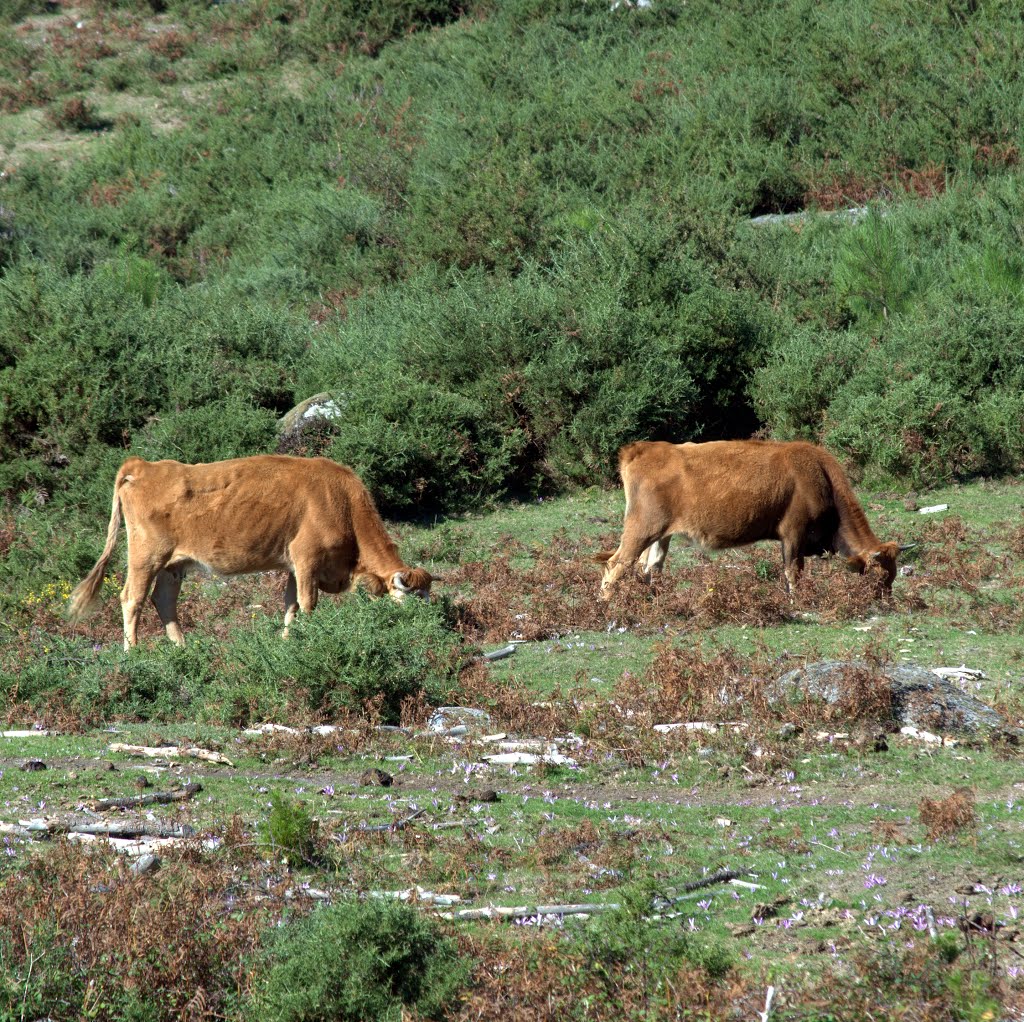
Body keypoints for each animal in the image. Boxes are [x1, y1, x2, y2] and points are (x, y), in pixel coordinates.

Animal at [67, 454, 436, 647]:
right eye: (408, 601)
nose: (424, 629)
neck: (341, 501)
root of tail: (143, 466)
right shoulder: (307, 561)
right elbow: (307, 604)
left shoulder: (293, 568)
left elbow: (290, 606)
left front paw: (287, 641)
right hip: (146, 557)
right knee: (133, 598)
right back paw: (132, 652)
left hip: (175, 565)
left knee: (164, 600)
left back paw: (183, 649)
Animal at [598, 442, 909, 598]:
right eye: (879, 575)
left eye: (894, 574)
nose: (885, 601)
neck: (821, 477)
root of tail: (642, 449)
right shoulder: (792, 535)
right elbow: (793, 571)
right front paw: (797, 601)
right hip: (641, 531)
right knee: (617, 564)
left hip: (661, 535)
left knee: (651, 567)